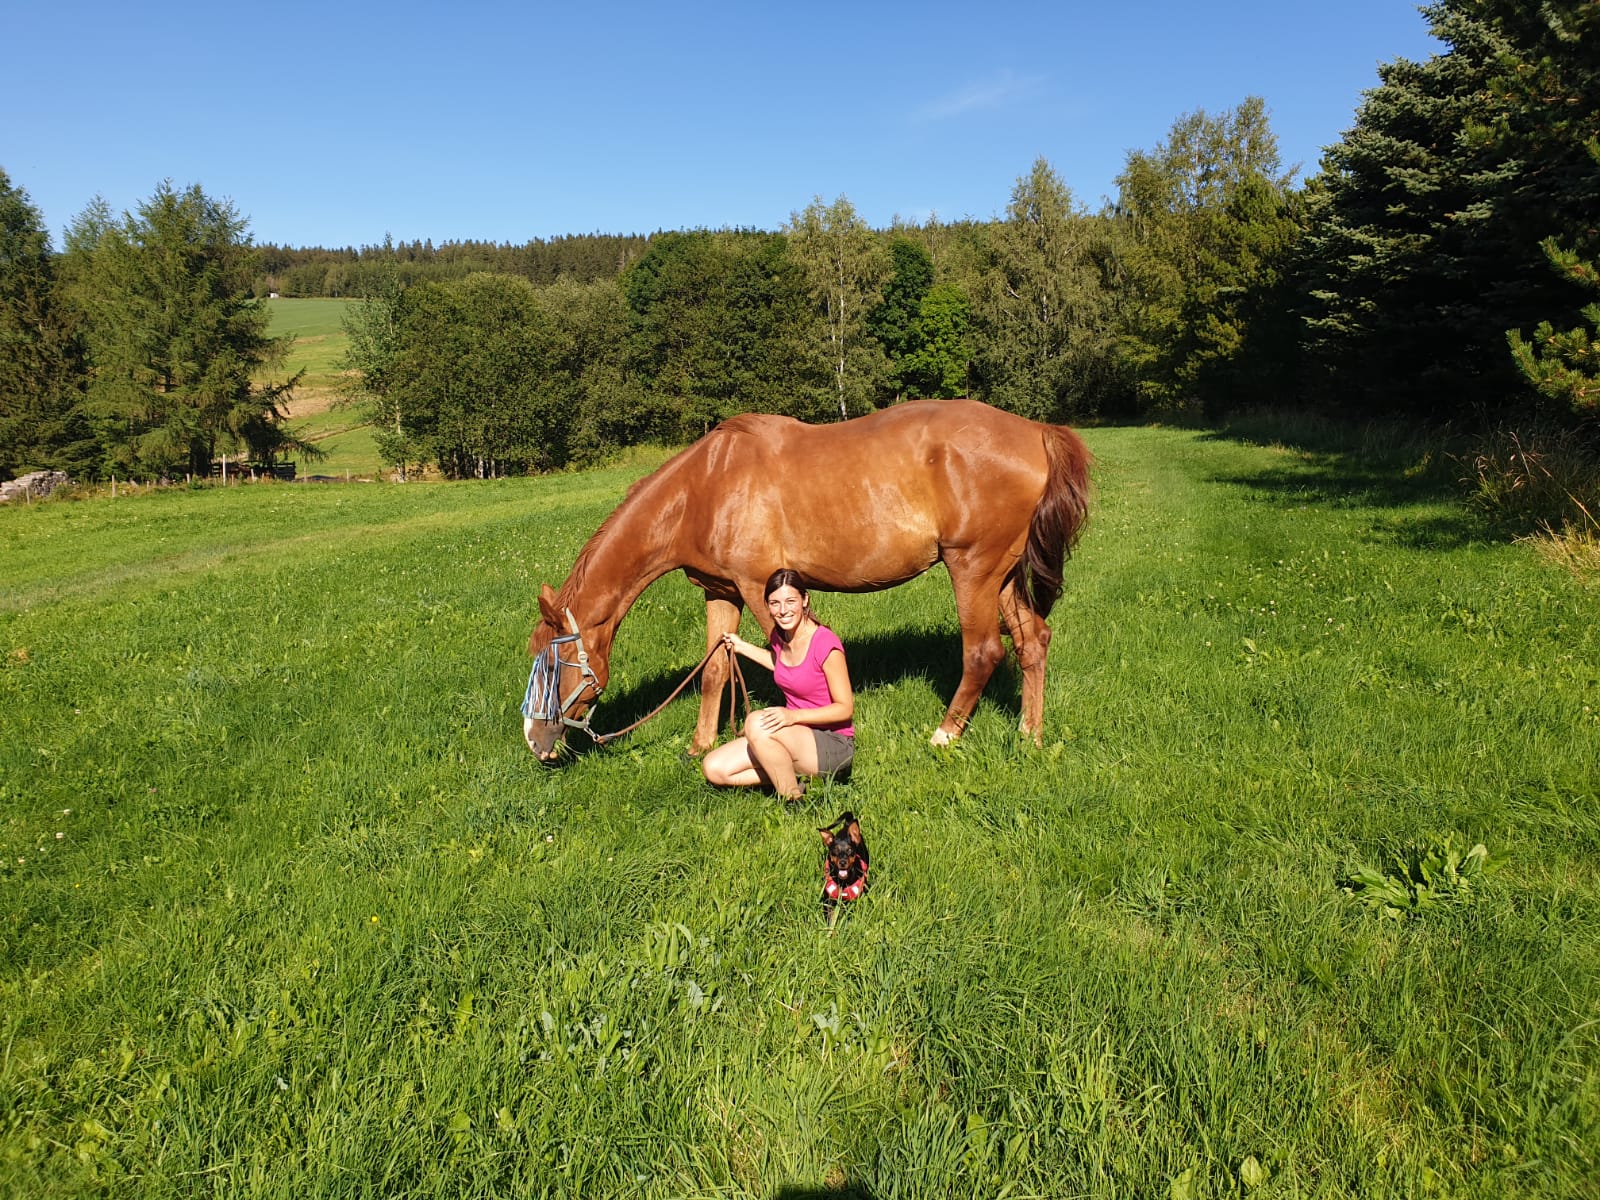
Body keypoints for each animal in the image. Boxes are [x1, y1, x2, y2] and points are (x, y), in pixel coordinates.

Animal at [522, 398, 1091, 761]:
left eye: (550, 666)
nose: (534, 741)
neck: (705, 487)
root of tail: (1038, 432)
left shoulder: (760, 590)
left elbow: (783, 665)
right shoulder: (720, 593)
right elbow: (715, 671)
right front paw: (700, 745)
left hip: (972, 569)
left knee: (983, 652)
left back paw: (944, 736)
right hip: (1003, 574)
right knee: (1033, 641)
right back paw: (1030, 736)